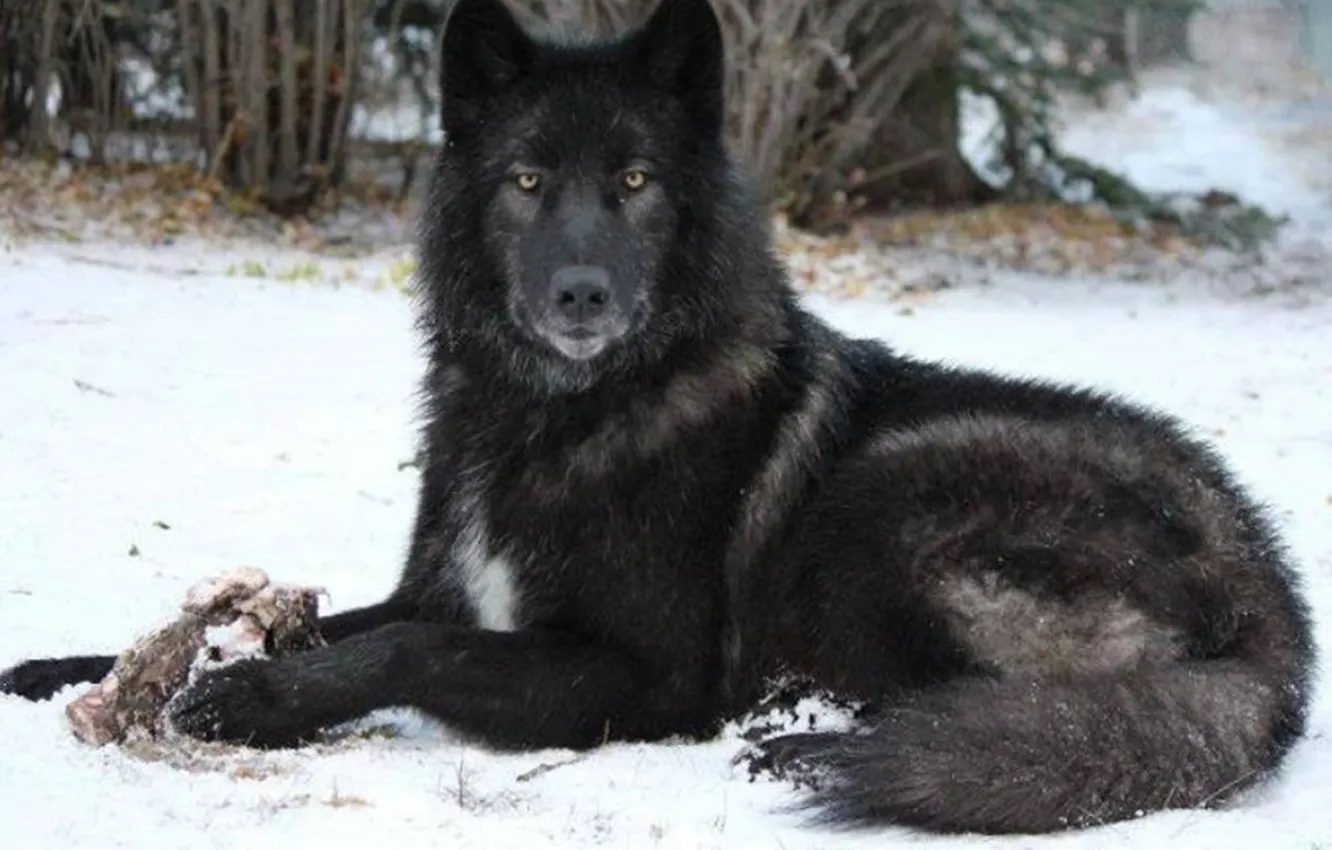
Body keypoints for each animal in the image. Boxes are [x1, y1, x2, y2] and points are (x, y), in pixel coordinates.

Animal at [1, 0, 1316, 835]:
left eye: (634, 181)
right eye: (529, 179)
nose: (581, 293)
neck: (564, 416)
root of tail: (1276, 607)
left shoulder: (641, 673)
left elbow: (408, 649)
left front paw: (247, 699)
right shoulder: (442, 585)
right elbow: (340, 623)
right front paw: (71, 668)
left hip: (888, 493)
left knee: (987, 713)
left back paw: (808, 739)